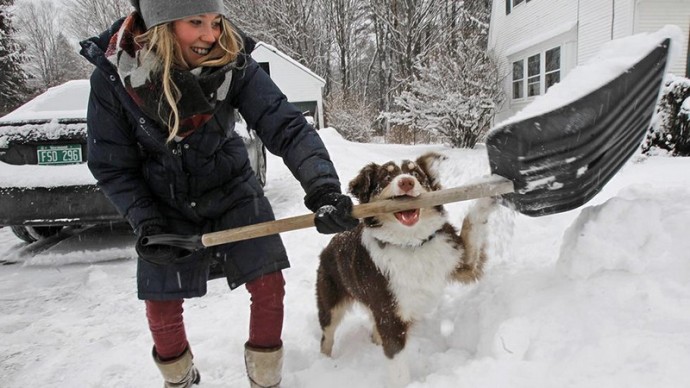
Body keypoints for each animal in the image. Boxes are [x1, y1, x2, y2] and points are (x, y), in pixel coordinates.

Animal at [314, 151, 498, 384]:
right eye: (386, 177)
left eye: (416, 174)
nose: (406, 182)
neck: (411, 244)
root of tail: (330, 243)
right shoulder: (390, 315)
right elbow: (398, 367)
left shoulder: (462, 261)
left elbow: (472, 222)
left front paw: (489, 190)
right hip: (330, 304)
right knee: (326, 337)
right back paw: (325, 363)